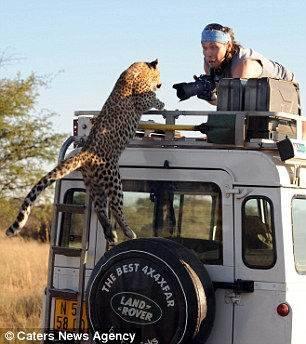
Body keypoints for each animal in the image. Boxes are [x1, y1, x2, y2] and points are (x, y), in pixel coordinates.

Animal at [4, 59, 164, 243]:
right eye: (159, 75)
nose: (161, 84)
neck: (139, 67)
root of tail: (85, 153)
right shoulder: (141, 99)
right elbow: (151, 98)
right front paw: (161, 102)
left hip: (94, 184)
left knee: (100, 208)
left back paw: (111, 235)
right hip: (114, 179)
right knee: (115, 207)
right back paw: (128, 232)